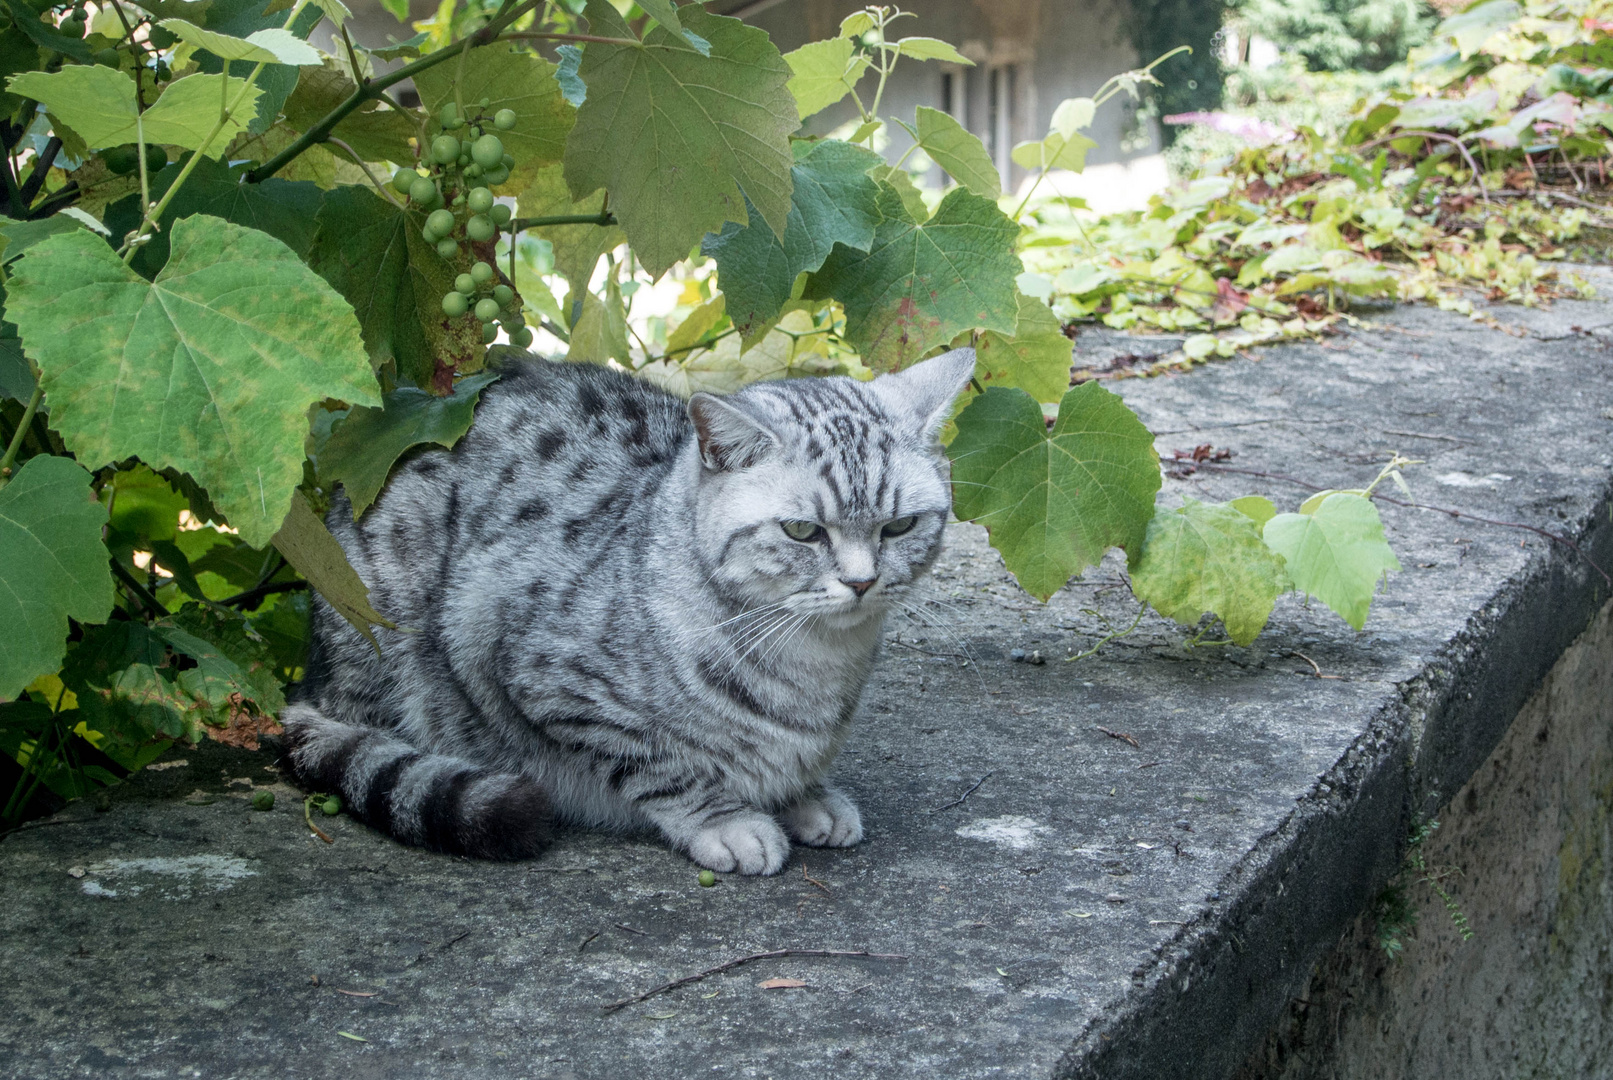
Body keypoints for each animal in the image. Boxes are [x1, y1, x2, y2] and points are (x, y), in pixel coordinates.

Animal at [280, 351, 967, 876]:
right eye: (802, 531)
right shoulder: (531, 666)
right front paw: (728, 821)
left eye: (899, 526)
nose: (862, 581)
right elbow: (661, 766)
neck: (815, 665)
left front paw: (807, 795)